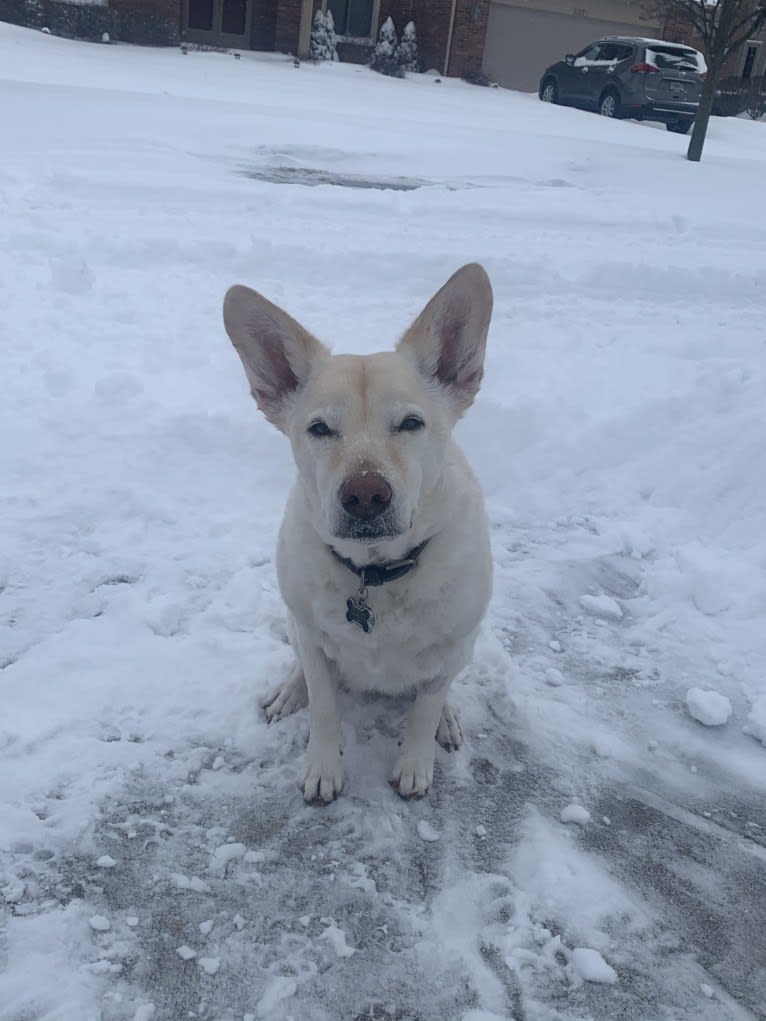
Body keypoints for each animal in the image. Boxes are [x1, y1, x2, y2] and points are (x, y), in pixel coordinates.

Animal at [224, 265, 494, 804]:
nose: (366, 495)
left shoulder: (451, 647)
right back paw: (290, 690)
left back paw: (447, 720)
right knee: (303, 669)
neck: (375, 572)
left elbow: (425, 707)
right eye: (320, 429)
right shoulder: (311, 637)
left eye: (410, 423)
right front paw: (322, 767)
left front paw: (415, 762)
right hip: (296, 626)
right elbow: (325, 708)